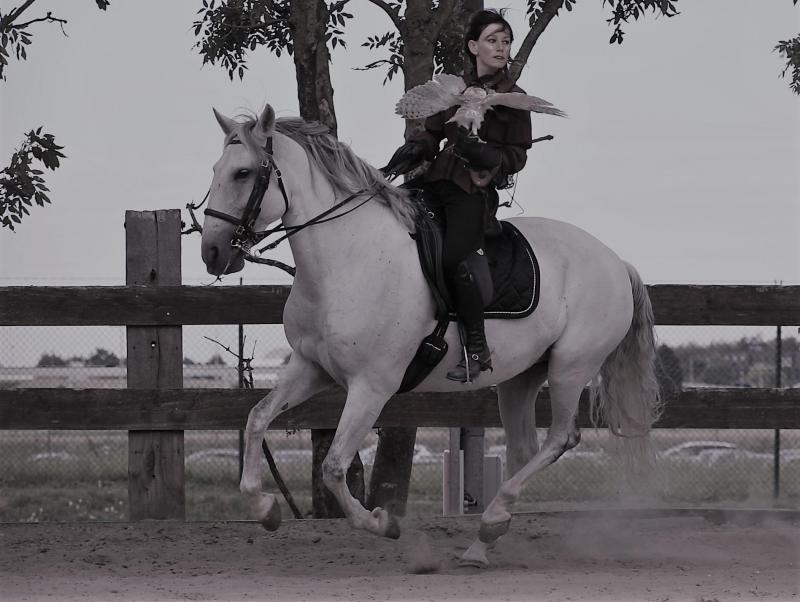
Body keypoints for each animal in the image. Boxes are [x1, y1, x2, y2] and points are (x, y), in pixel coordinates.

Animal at [202, 104, 664, 568]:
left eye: (243, 173)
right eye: (216, 169)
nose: (212, 253)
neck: (348, 257)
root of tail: (615, 261)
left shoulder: (372, 386)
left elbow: (333, 467)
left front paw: (383, 523)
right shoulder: (310, 368)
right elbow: (258, 417)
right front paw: (265, 509)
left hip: (571, 367)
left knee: (560, 439)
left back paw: (491, 521)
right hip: (521, 378)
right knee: (525, 449)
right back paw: (484, 541)